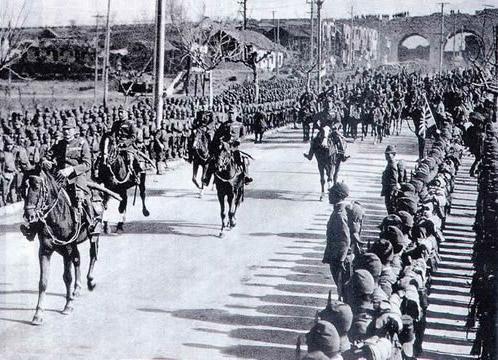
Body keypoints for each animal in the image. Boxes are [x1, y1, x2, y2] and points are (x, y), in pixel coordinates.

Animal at [22, 169, 99, 326]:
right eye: (23, 188)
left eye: (37, 187)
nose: (29, 216)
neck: (57, 216)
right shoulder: (44, 250)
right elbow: (43, 282)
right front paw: (38, 314)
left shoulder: (68, 248)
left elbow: (67, 277)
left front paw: (68, 305)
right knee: (77, 260)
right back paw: (77, 288)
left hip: (93, 234)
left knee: (92, 255)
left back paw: (90, 281)